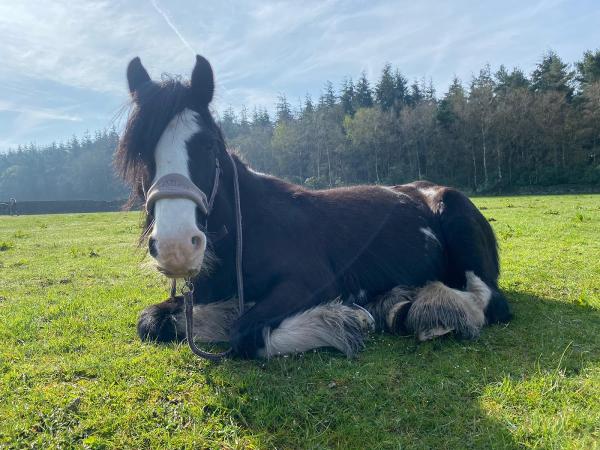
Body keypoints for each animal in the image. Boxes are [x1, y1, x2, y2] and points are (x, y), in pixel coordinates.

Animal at [117, 55, 510, 358]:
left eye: (209, 145)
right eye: (140, 153)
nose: (176, 247)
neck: (251, 229)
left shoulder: (310, 280)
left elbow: (245, 333)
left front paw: (347, 321)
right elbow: (151, 320)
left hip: (460, 226)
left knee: (489, 300)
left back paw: (429, 315)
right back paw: (396, 304)